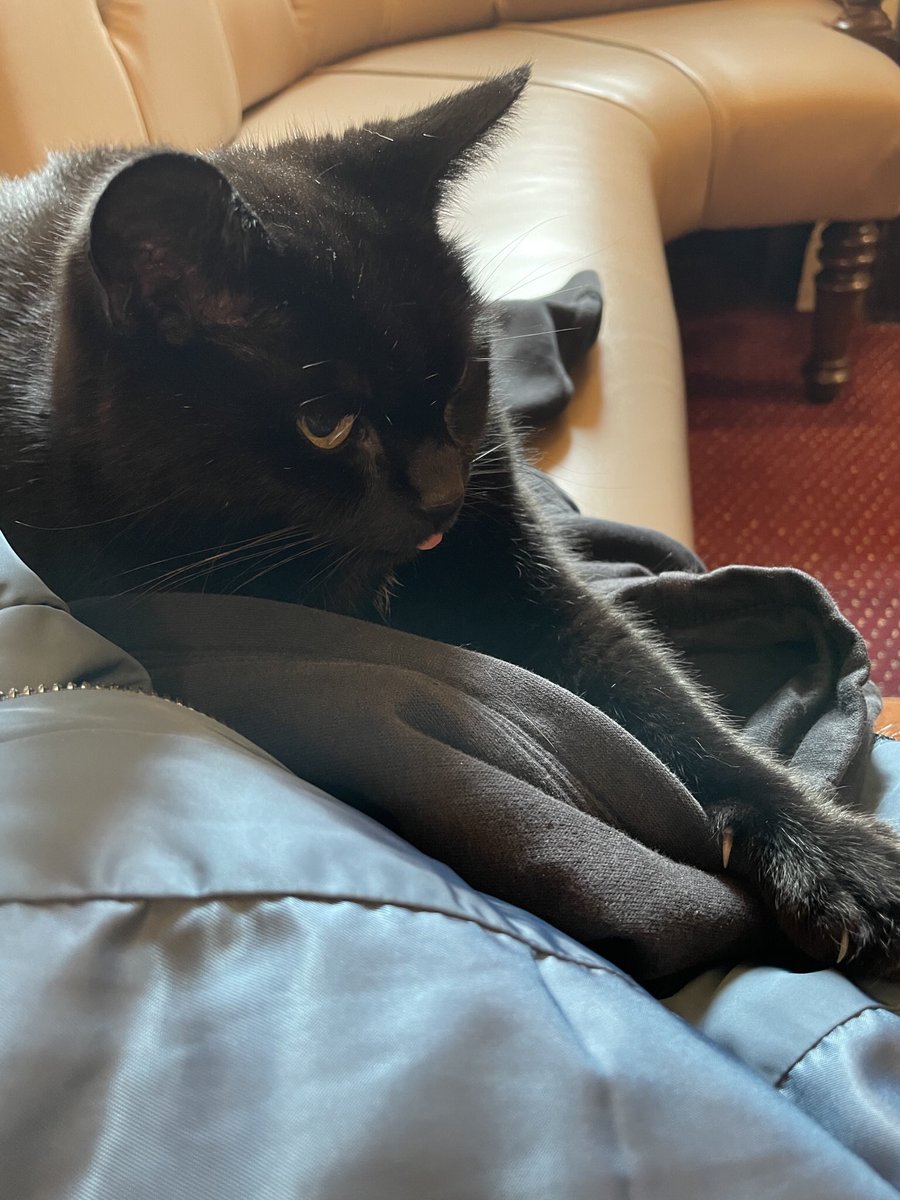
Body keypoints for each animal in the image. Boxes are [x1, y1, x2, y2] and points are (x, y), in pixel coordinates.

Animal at [1, 68, 900, 974]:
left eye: (467, 371)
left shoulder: (529, 577)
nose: (443, 494)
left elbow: (668, 701)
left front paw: (835, 857)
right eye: (324, 422)